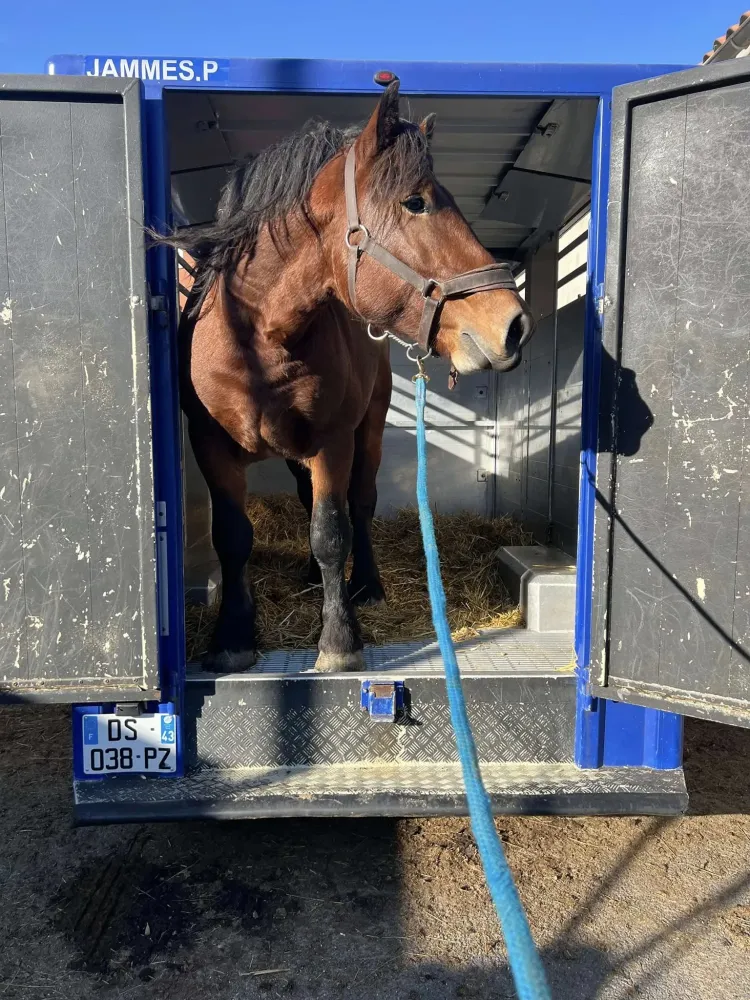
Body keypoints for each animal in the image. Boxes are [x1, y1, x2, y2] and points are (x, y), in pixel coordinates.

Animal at [171, 81, 535, 674]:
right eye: (416, 202)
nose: (515, 324)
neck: (257, 342)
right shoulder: (210, 445)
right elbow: (233, 537)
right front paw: (232, 637)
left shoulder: (333, 442)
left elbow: (330, 532)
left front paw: (340, 640)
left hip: (369, 430)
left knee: (359, 505)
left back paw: (364, 585)